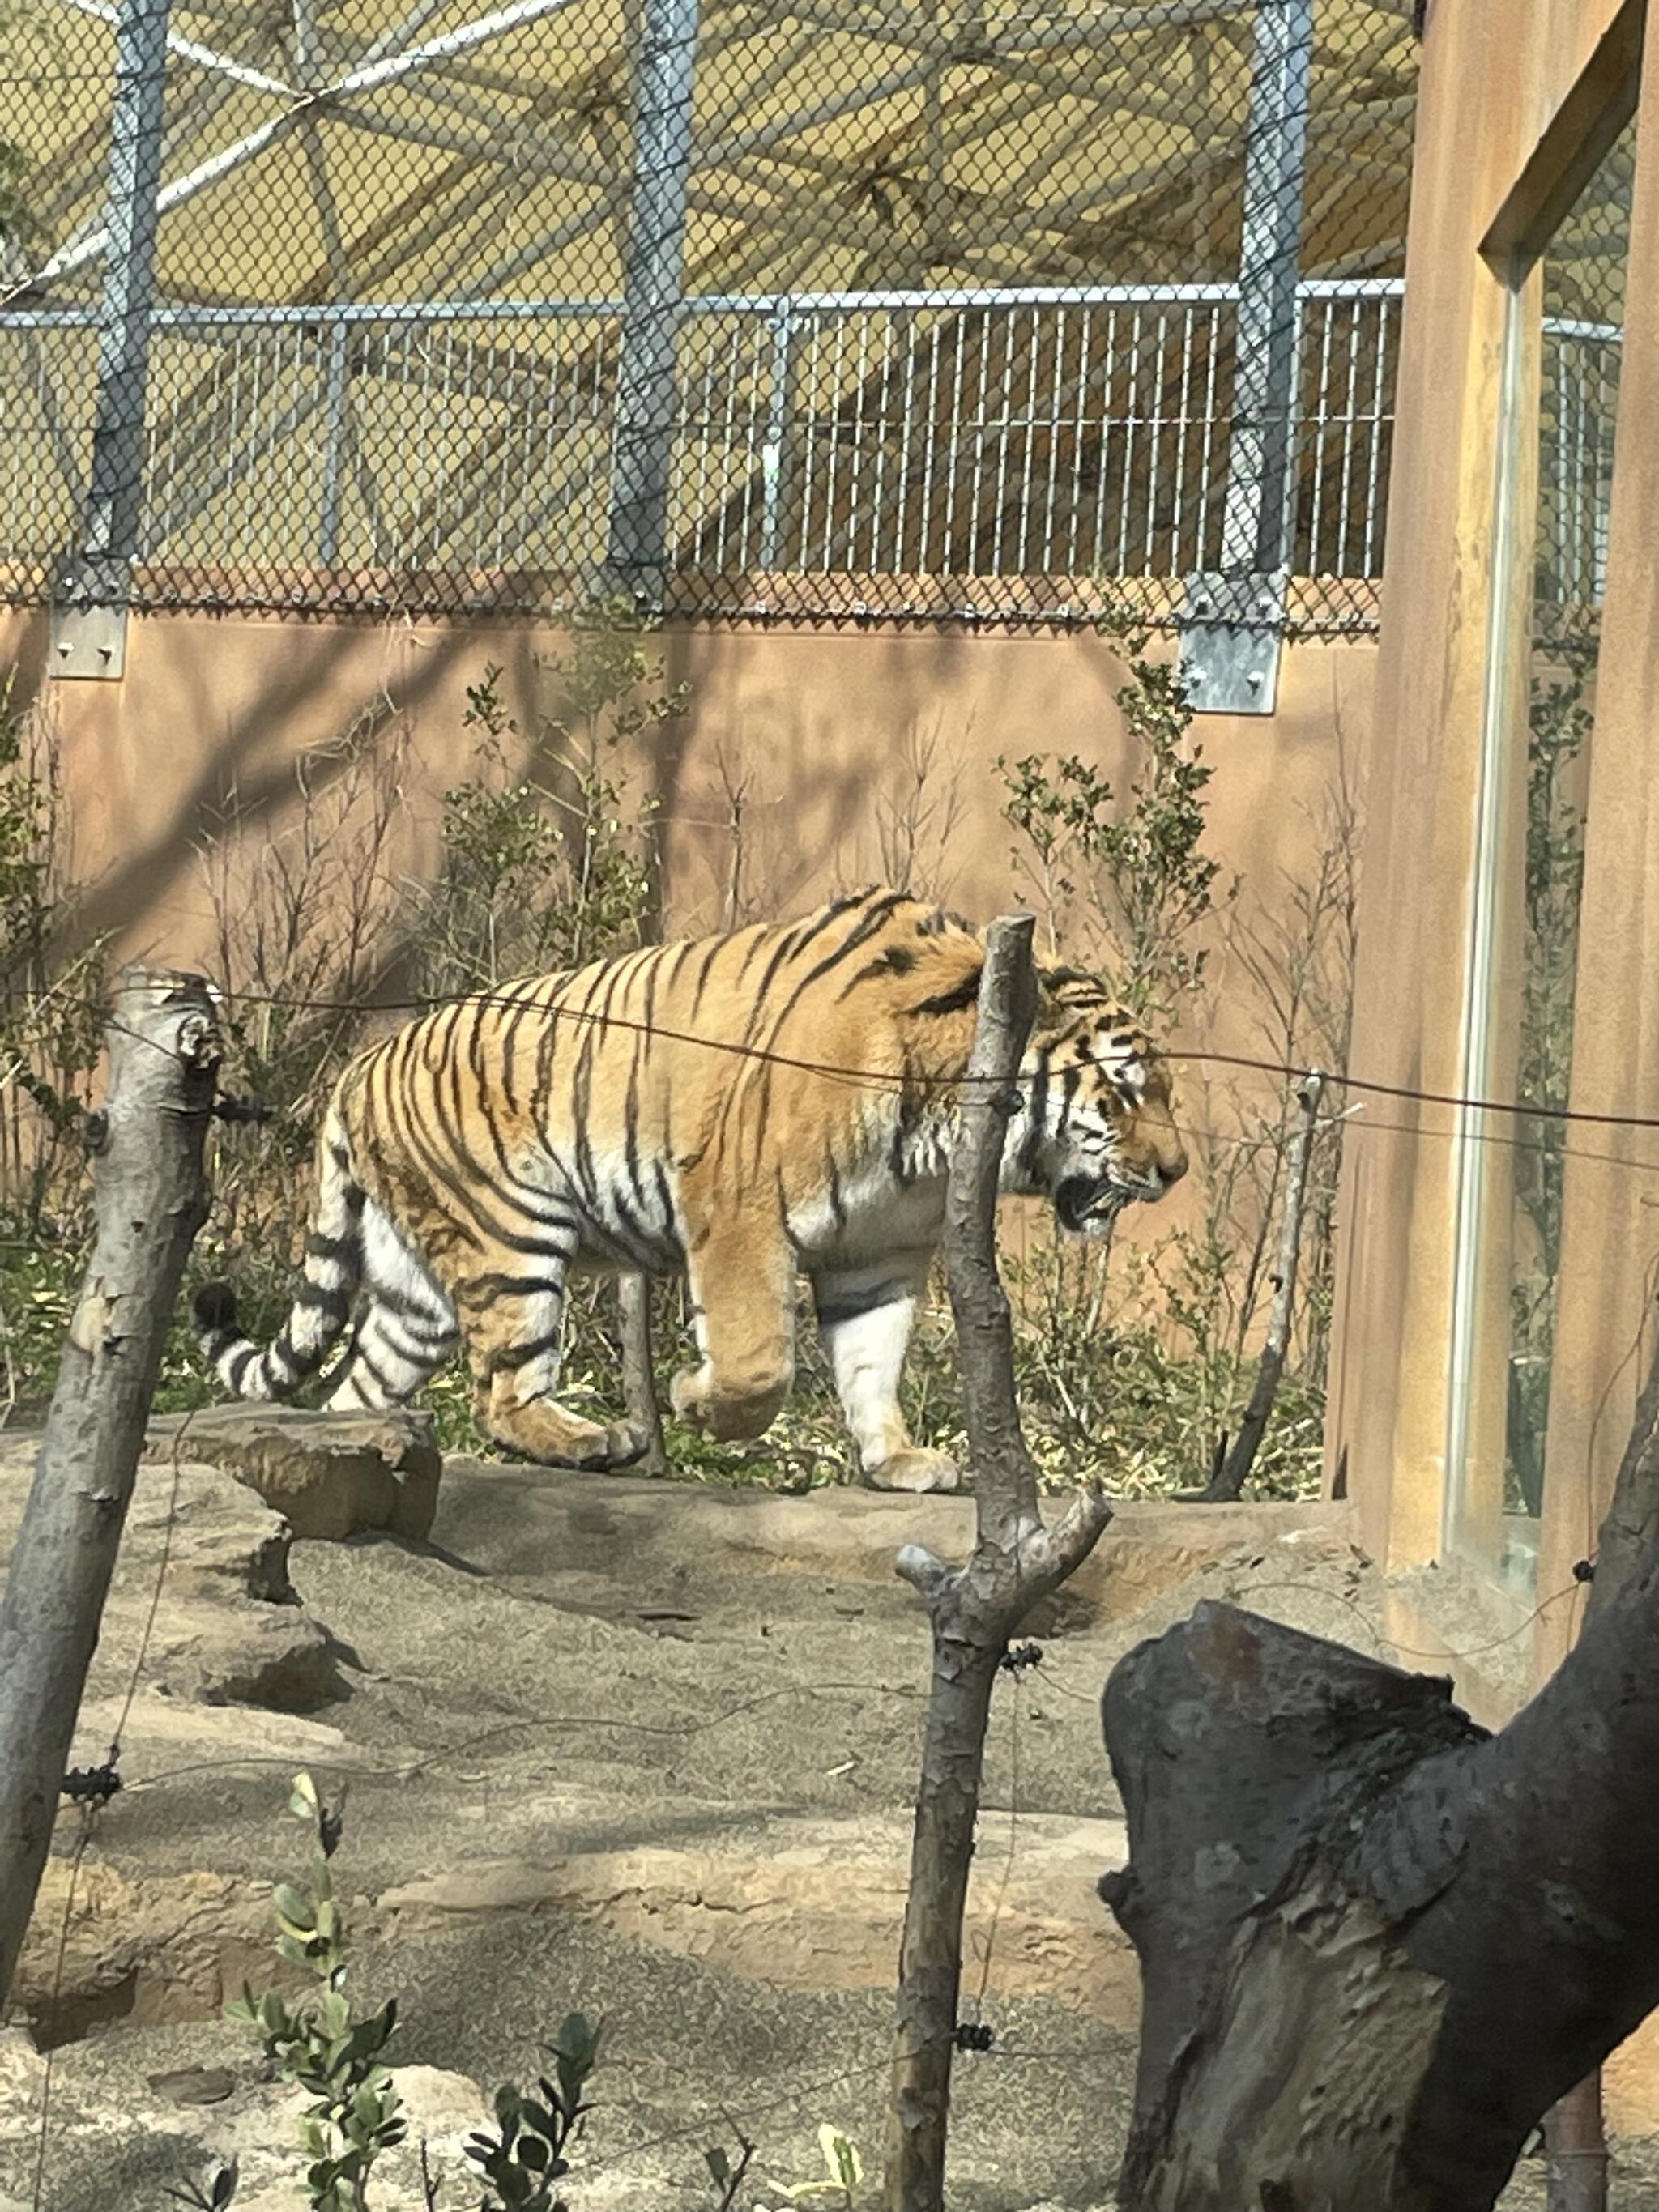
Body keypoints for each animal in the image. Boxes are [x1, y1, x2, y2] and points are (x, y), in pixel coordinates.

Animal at [194, 889, 1185, 1495]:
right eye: (1125, 1091)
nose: (1176, 1172)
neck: (940, 1130)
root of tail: (358, 1066)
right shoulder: (738, 1212)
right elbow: (760, 1360)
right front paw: (691, 1398)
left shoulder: (879, 1252)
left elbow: (872, 1363)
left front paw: (896, 1459)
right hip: (510, 1234)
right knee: (503, 1389)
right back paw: (591, 1438)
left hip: (417, 1292)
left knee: (355, 1393)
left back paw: (359, 1460)